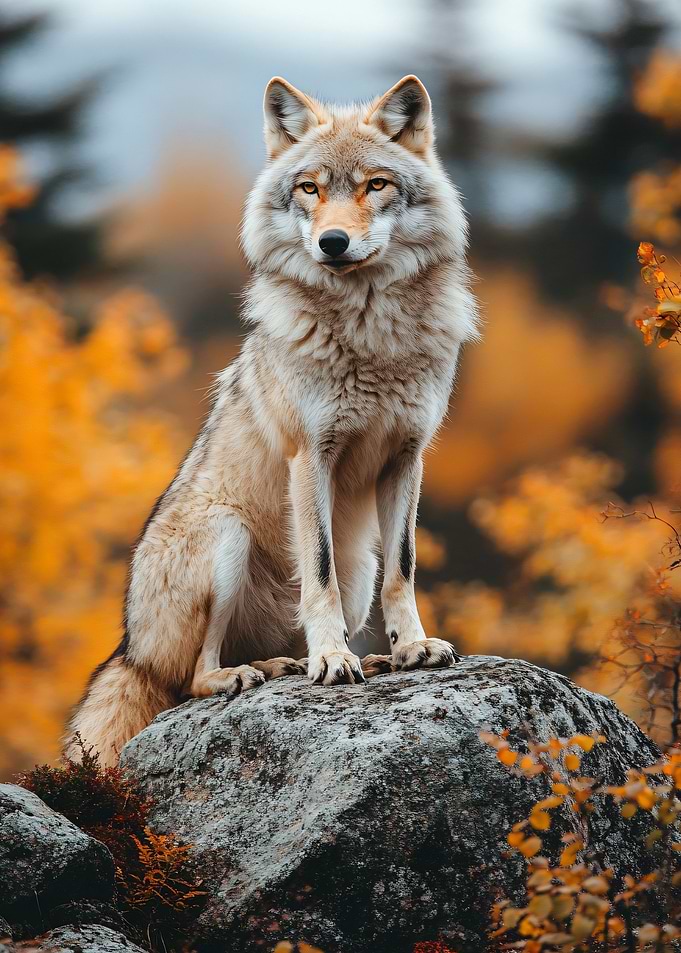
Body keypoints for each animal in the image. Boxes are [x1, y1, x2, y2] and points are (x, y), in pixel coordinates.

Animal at [65, 75, 479, 766]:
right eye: (309, 188)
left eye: (375, 185)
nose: (333, 242)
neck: (369, 331)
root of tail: (128, 647)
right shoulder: (309, 456)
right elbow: (318, 576)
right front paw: (334, 659)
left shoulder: (407, 456)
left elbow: (405, 569)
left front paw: (411, 648)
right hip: (225, 537)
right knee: (192, 679)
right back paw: (248, 674)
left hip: (359, 567)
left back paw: (295, 664)